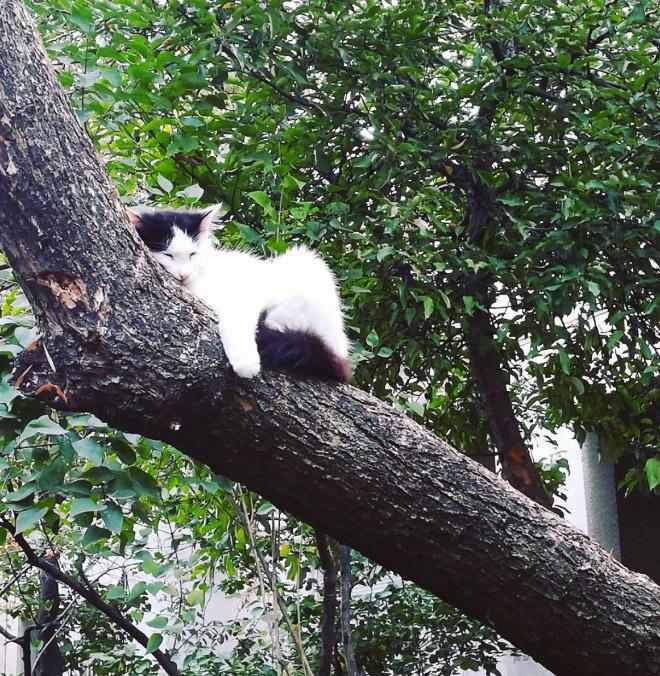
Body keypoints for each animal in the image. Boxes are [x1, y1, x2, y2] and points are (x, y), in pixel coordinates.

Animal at [129, 203, 354, 382]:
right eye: (168, 255)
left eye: (192, 254)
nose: (184, 274)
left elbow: (236, 320)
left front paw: (245, 363)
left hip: (304, 264)